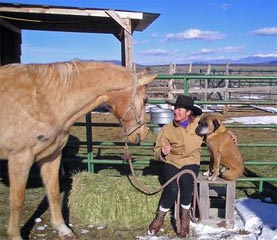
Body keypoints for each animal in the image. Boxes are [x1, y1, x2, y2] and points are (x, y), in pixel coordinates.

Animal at [0, 61, 155, 239]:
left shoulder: (52, 155)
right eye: (145, 99)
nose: (142, 133)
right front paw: (14, 235)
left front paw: (63, 229)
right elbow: (17, 201)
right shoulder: (20, 158)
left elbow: (53, 192)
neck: (43, 99)